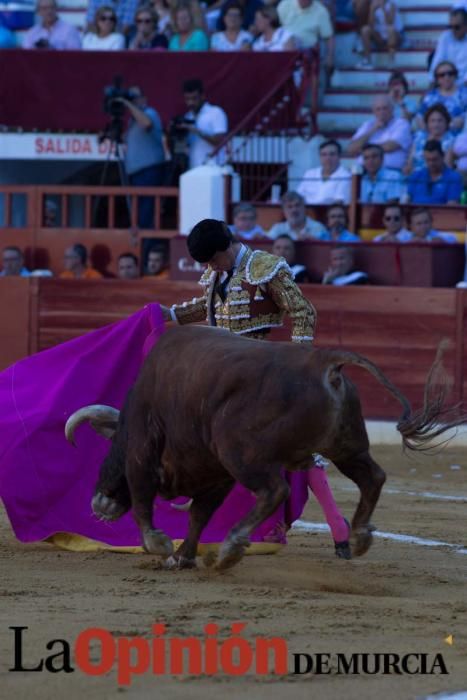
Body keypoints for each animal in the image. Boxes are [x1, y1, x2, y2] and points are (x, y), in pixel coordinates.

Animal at [64, 324, 462, 568]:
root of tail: (325, 360)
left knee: (275, 490)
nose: (98, 504)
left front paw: (161, 546)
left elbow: (144, 503)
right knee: (372, 477)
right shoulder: (217, 475)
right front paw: (184, 556)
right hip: (346, 446)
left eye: (108, 452)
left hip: (242, 452)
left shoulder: (144, 454)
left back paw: (232, 547)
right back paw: (359, 535)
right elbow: (198, 515)